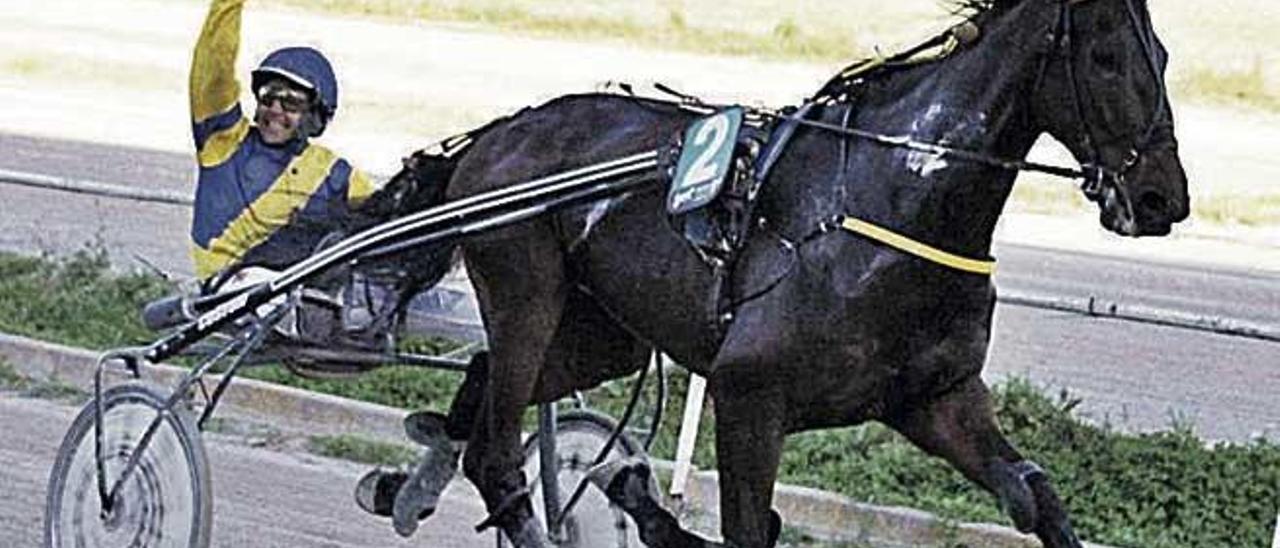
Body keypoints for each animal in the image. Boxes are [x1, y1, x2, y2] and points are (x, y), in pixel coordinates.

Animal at [412, 2, 1187, 545]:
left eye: (1164, 55)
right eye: (1107, 58)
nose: (1162, 198)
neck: (892, 198)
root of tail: (497, 132)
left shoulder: (936, 399)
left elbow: (1036, 497)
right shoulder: (749, 395)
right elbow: (747, 529)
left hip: (606, 336)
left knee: (482, 399)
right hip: (526, 293)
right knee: (497, 454)